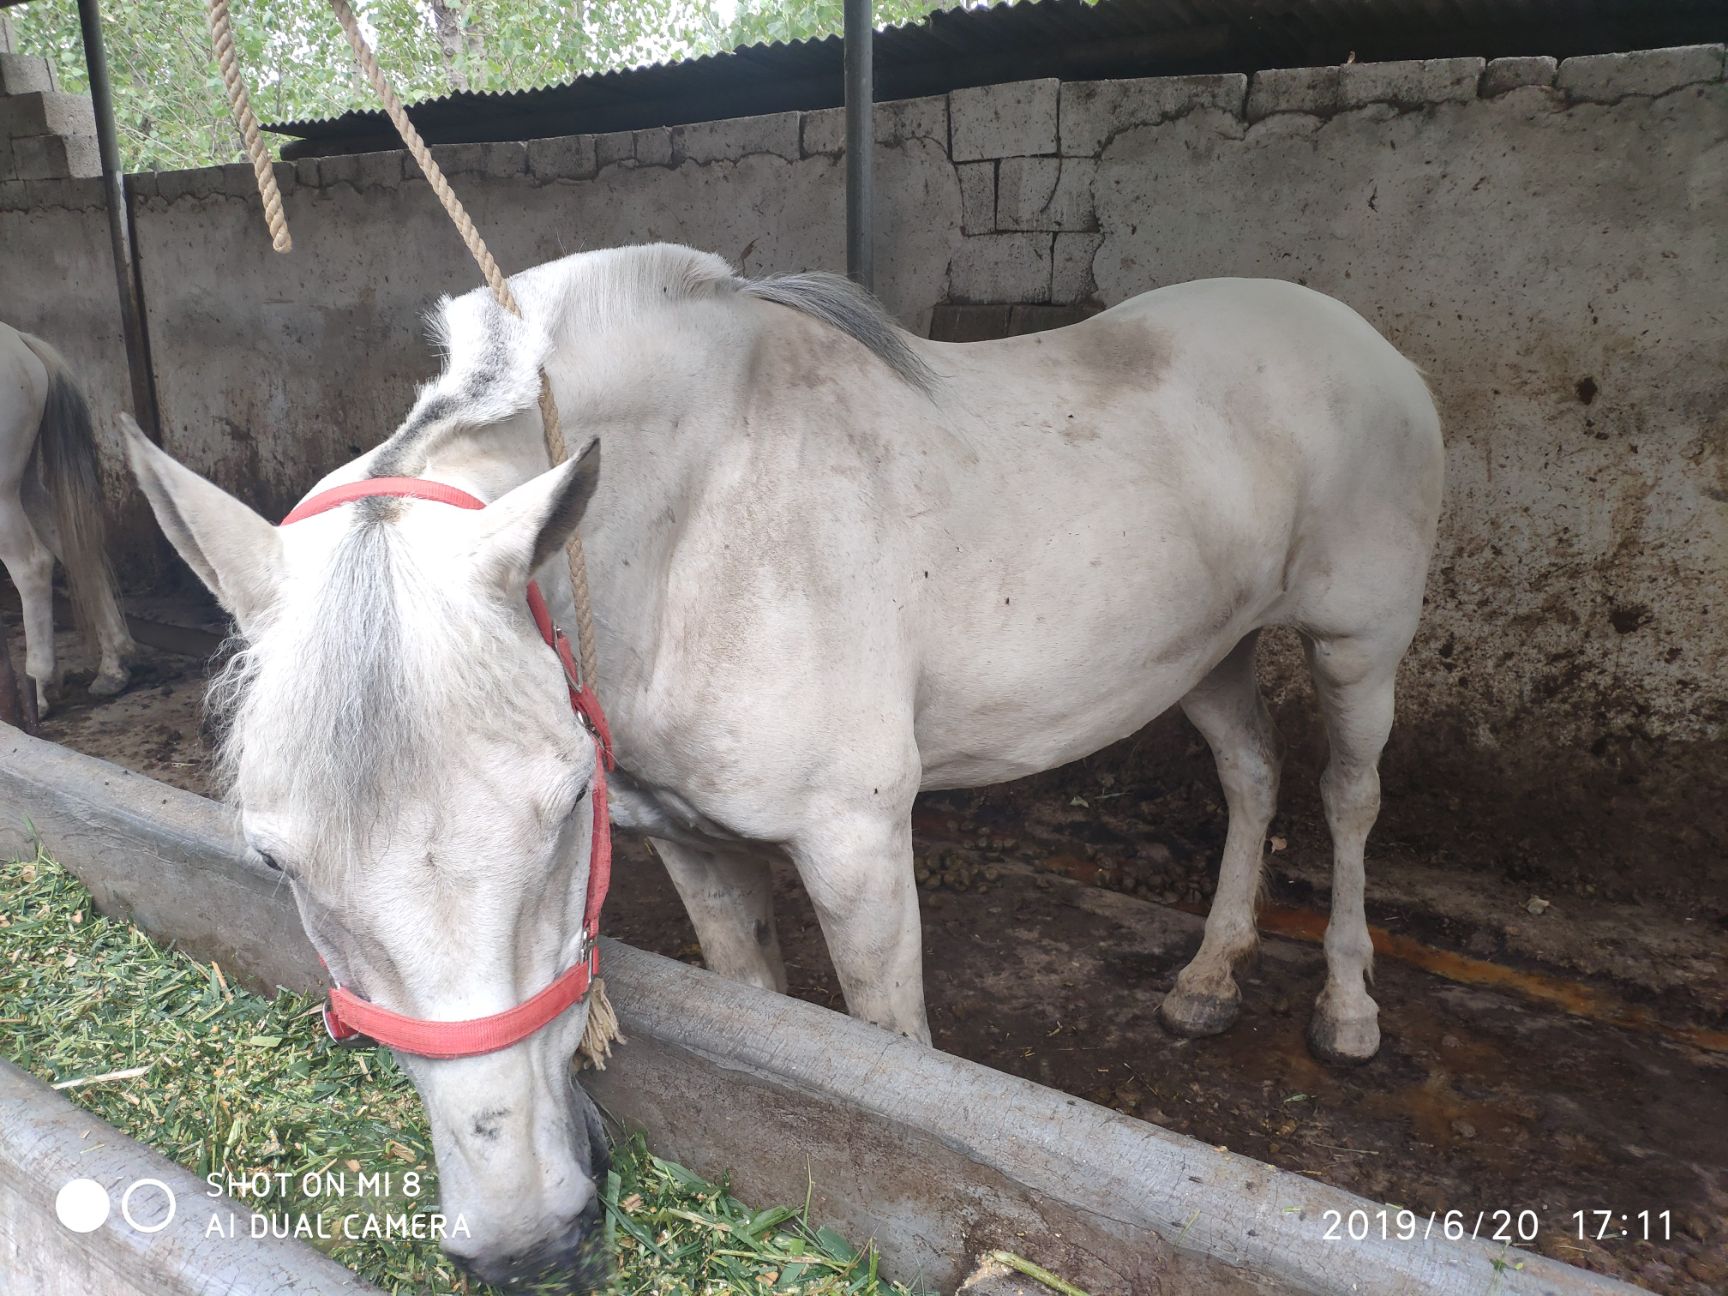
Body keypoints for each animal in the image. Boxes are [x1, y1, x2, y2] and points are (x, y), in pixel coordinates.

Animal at [0, 322, 134, 714]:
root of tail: (19, 341)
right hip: (25, 483)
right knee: (77, 550)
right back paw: (112, 668)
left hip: (3, 492)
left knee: (32, 566)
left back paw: (39, 687)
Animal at [121, 243, 1443, 1284]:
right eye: (274, 858)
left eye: (563, 810)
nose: (527, 1244)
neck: (694, 533)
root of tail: (1365, 339)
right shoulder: (695, 847)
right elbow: (762, 1000)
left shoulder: (854, 844)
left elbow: (892, 1043)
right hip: (1206, 651)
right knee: (1252, 778)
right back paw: (1210, 978)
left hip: (1357, 643)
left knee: (1348, 799)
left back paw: (1347, 1009)